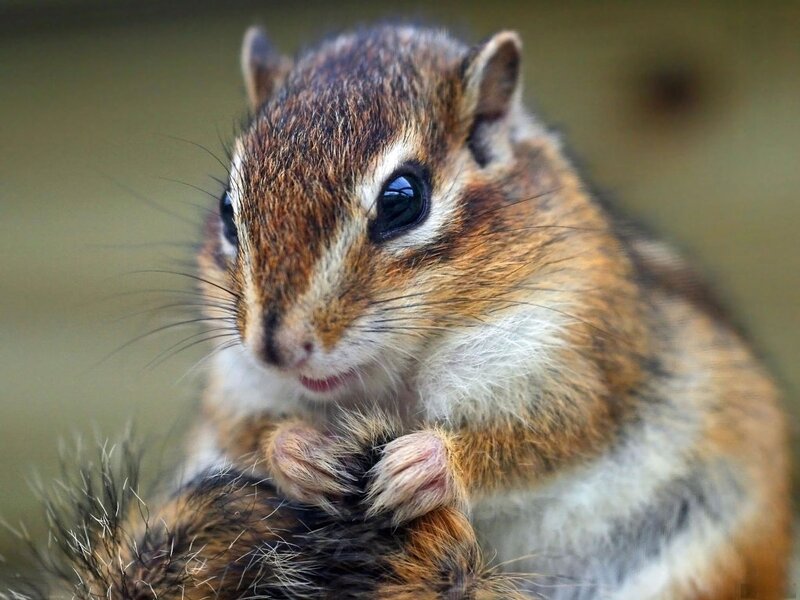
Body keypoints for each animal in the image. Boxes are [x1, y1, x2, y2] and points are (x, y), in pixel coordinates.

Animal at [182, 23, 791, 598]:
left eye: (403, 198)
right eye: (228, 209)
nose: (274, 348)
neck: (394, 380)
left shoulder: (578, 363)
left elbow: (547, 436)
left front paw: (427, 462)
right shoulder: (235, 386)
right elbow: (243, 431)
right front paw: (298, 453)